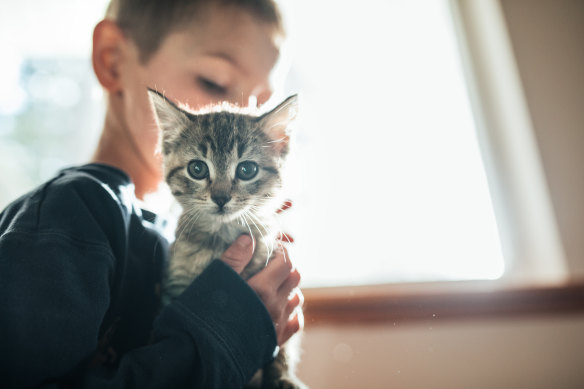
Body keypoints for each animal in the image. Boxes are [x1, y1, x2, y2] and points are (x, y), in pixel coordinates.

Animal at [147, 89, 306, 388]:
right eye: (197, 169)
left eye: (247, 170)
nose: (220, 198)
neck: (221, 240)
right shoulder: (176, 287)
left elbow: (283, 348)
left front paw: (282, 376)